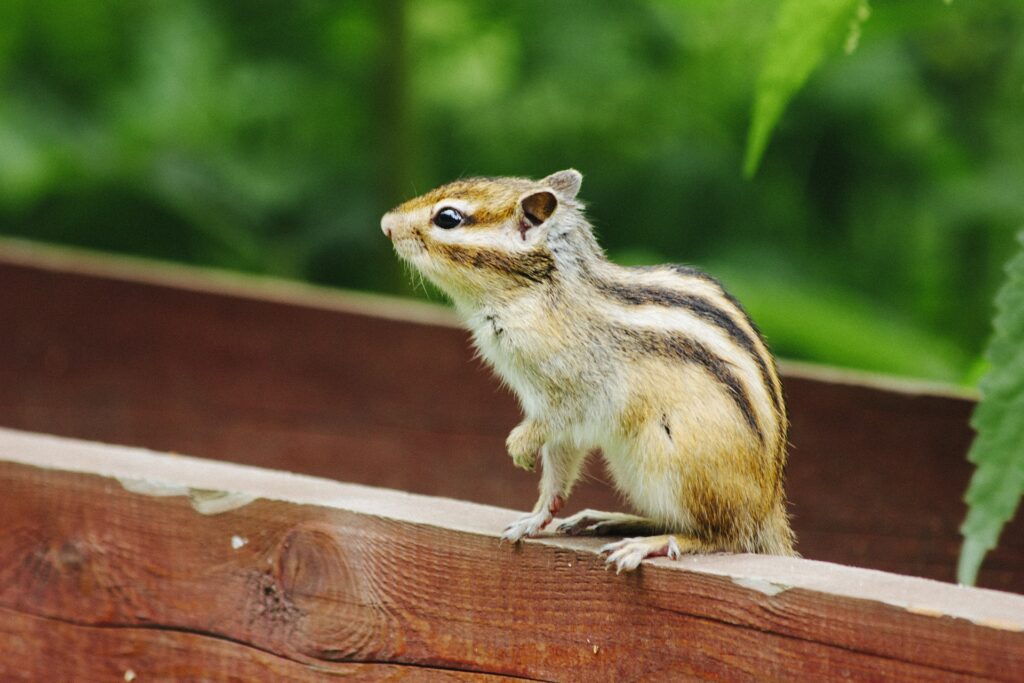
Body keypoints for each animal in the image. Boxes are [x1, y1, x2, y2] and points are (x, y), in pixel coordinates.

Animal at [381, 170, 796, 571]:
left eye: (447, 218)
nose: (386, 224)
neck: (538, 293)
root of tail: (768, 510)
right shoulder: (549, 404)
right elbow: (559, 462)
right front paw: (537, 517)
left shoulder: (574, 390)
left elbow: (554, 426)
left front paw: (519, 446)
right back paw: (612, 519)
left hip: (673, 462)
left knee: (724, 536)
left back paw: (650, 544)